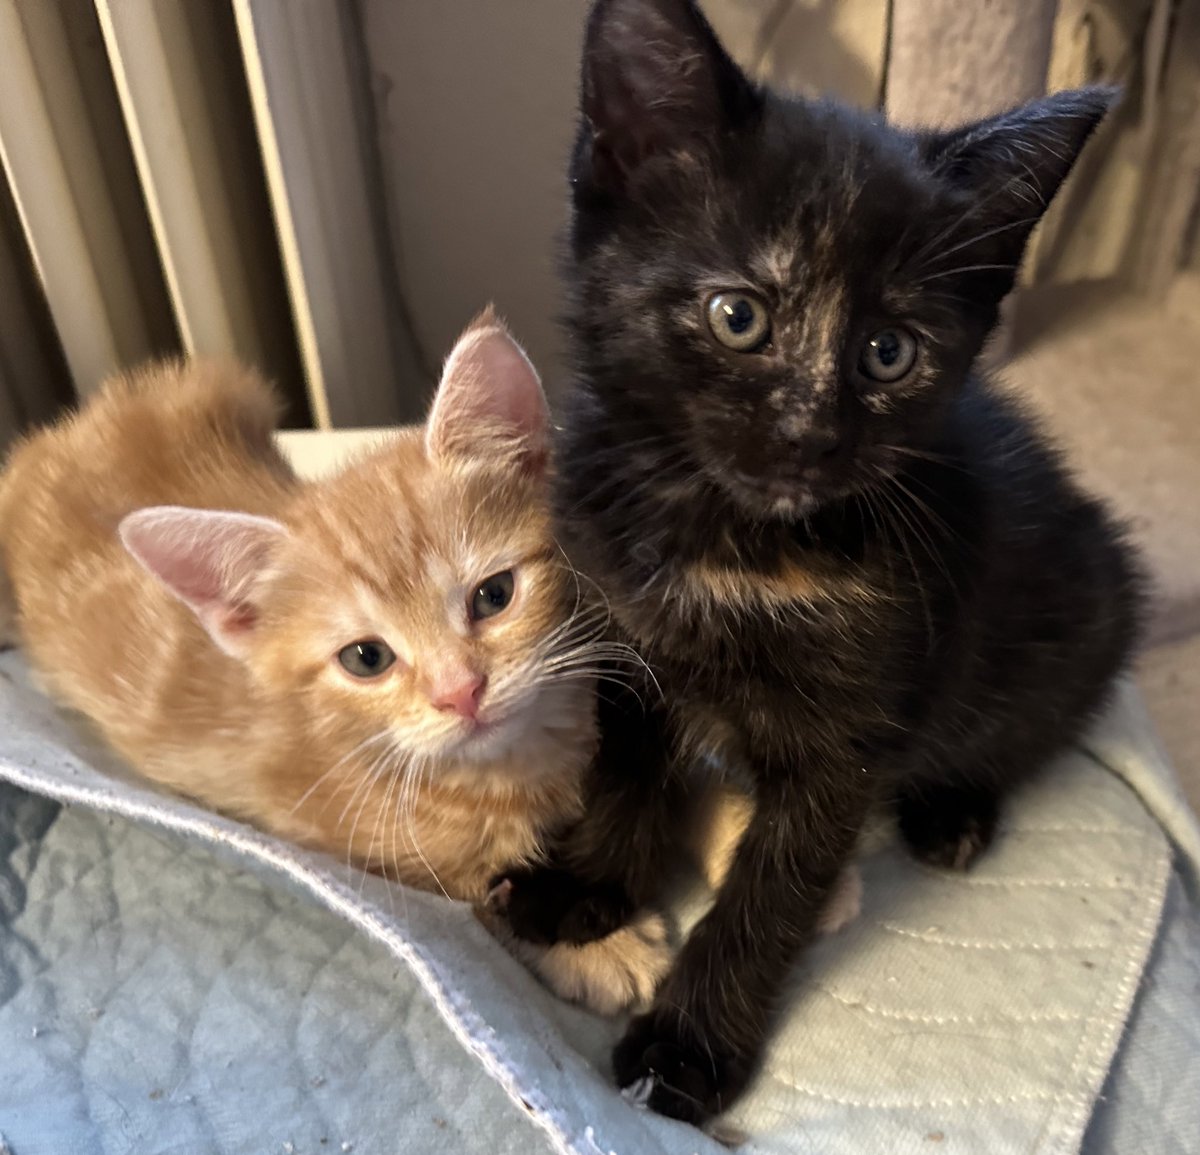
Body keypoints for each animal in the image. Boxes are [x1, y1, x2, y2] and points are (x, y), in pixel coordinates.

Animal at [0, 312, 672, 1008]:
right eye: (366, 658)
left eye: (494, 595)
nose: (461, 692)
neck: (512, 768)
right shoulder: (361, 848)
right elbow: (477, 899)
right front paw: (601, 953)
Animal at [494, 0, 1142, 1123]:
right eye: (738, 316)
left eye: (890, 352)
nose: (810, 434)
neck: (735, 545)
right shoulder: (623, 640)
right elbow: (622, 775)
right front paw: (584, 890)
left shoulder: (849, 737)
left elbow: (770, 890)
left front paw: (688, 1047)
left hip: (1084, 619)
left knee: (1025, 728)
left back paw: (954, 808)